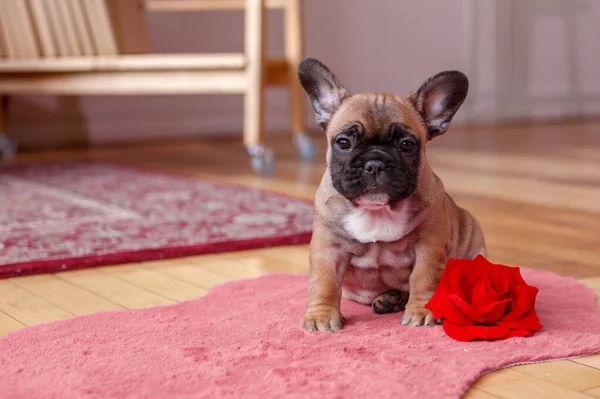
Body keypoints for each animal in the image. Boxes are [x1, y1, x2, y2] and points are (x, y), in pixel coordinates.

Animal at [298, 58, 486, 334]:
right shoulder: (328, 248)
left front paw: (422, 311)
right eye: (343, 143)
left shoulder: (428, 247)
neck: (377, 210)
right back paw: (389, 299)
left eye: (407, 145)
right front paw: (321, 316)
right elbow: (325, 282)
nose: (375, 163)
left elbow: (424, 278)